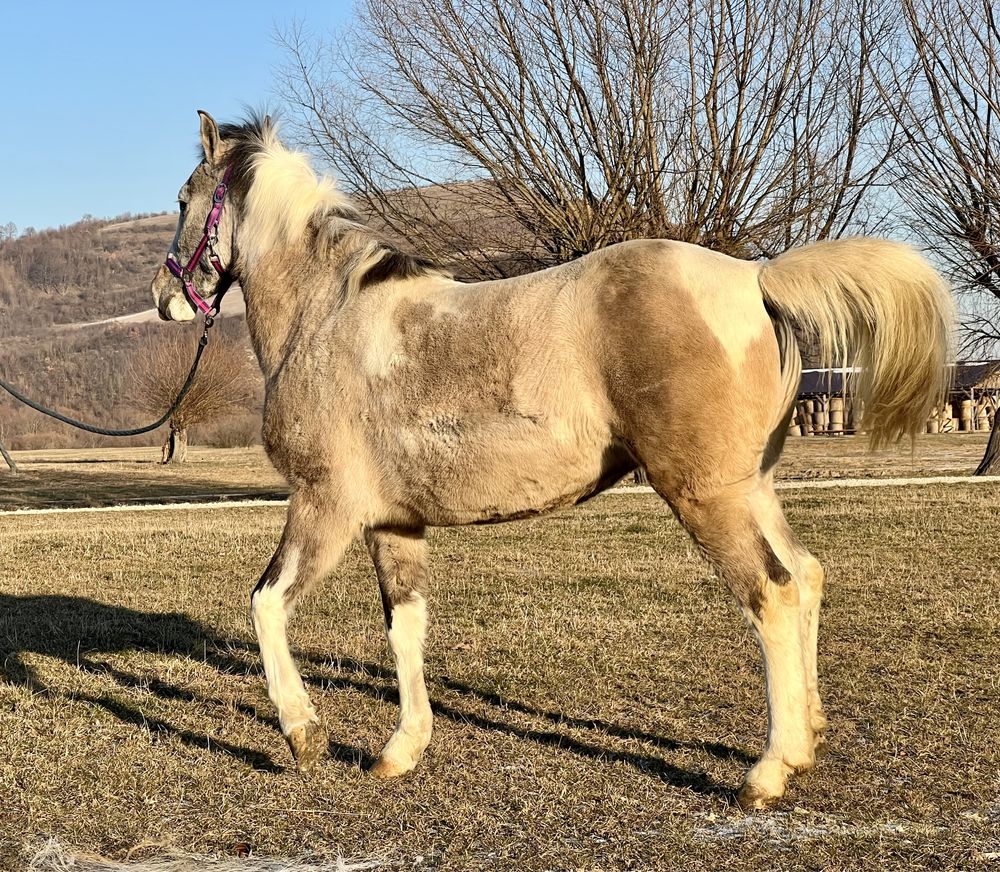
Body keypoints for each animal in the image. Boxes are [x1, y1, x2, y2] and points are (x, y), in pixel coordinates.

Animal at [148, 110, 952, 812]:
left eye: (184, 198)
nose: (162, 298)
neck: (327, 319)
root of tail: (753, 277)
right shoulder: (393, 524)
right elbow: (405, 629)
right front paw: (402, 750)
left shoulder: (325, 505)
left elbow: (266, 603)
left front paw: (303, 731)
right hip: (750, 486)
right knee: (807, 575)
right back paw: (808, 737)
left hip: (706, 496)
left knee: (773, 593)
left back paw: (769, 771)